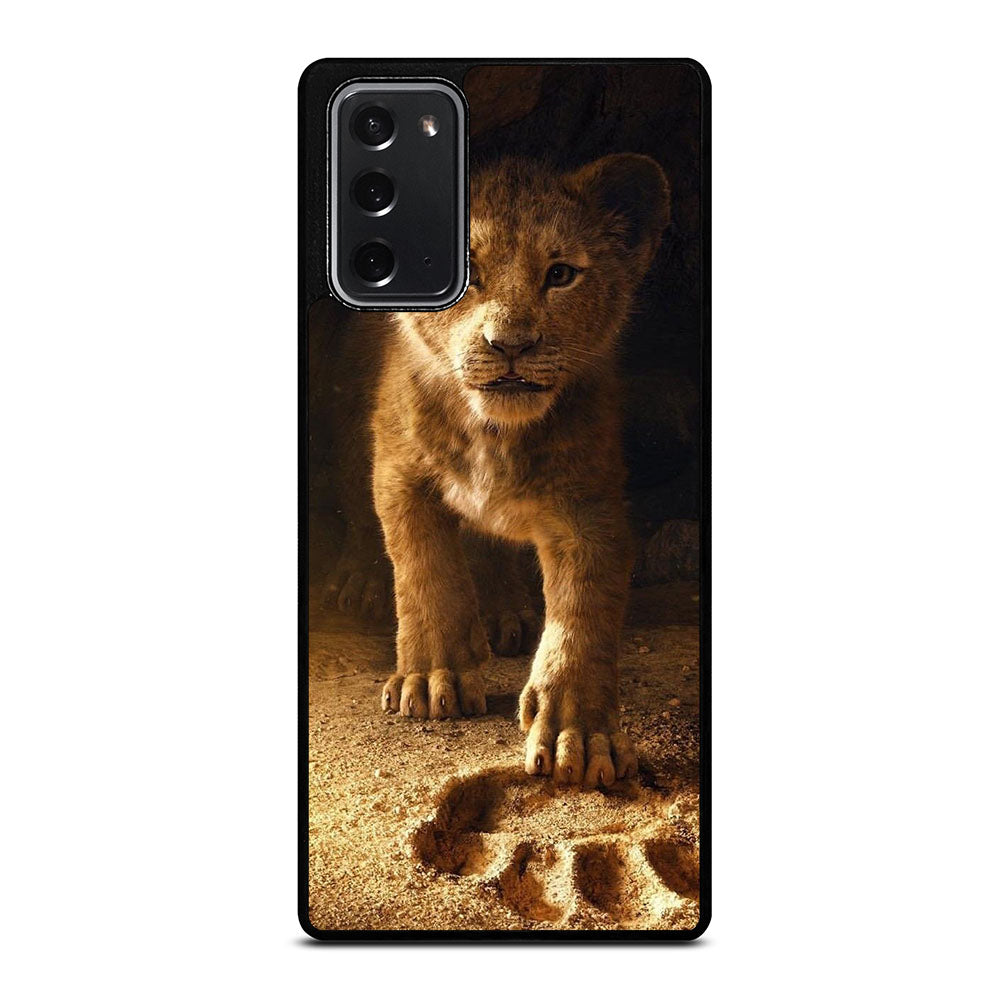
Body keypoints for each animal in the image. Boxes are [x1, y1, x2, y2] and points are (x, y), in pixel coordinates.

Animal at [318, 153, 670, 786]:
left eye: (561, 274)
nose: (511, 345)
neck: (495, 434)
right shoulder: (400, 469)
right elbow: (425, 570)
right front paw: (433, 677)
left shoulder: (590, 505)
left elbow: (583, 613)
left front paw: (578, 733)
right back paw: (358, 582)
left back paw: (508, 612)